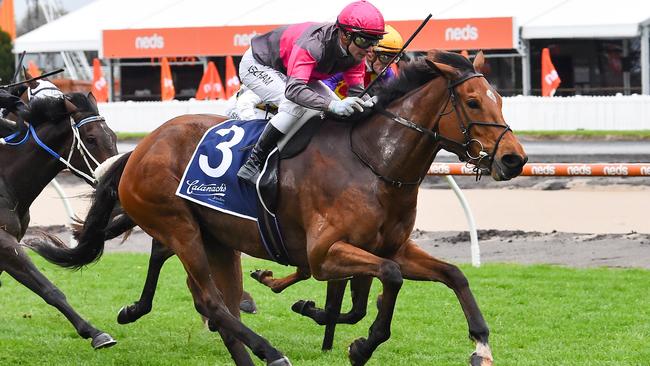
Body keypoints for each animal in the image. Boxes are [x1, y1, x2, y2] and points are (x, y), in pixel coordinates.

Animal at [1, 86, 118, 348]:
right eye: (91, 138)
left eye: (114, 136)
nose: (116, 178)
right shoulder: (4, 243)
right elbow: (49, 289)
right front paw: (95, 333)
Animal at [29, 50, 528, 364]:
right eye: (471, 102)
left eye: (500, 99)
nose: (514, 159)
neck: (372, 161)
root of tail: (141, 148)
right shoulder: (325, 254)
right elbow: (389, 277)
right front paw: (361, 344)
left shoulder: (390, 246)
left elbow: (451, 275)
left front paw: (481, 345)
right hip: (178, 226)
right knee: (210, 300)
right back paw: (270, 352)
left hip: (217, 237)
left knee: (221, 303)